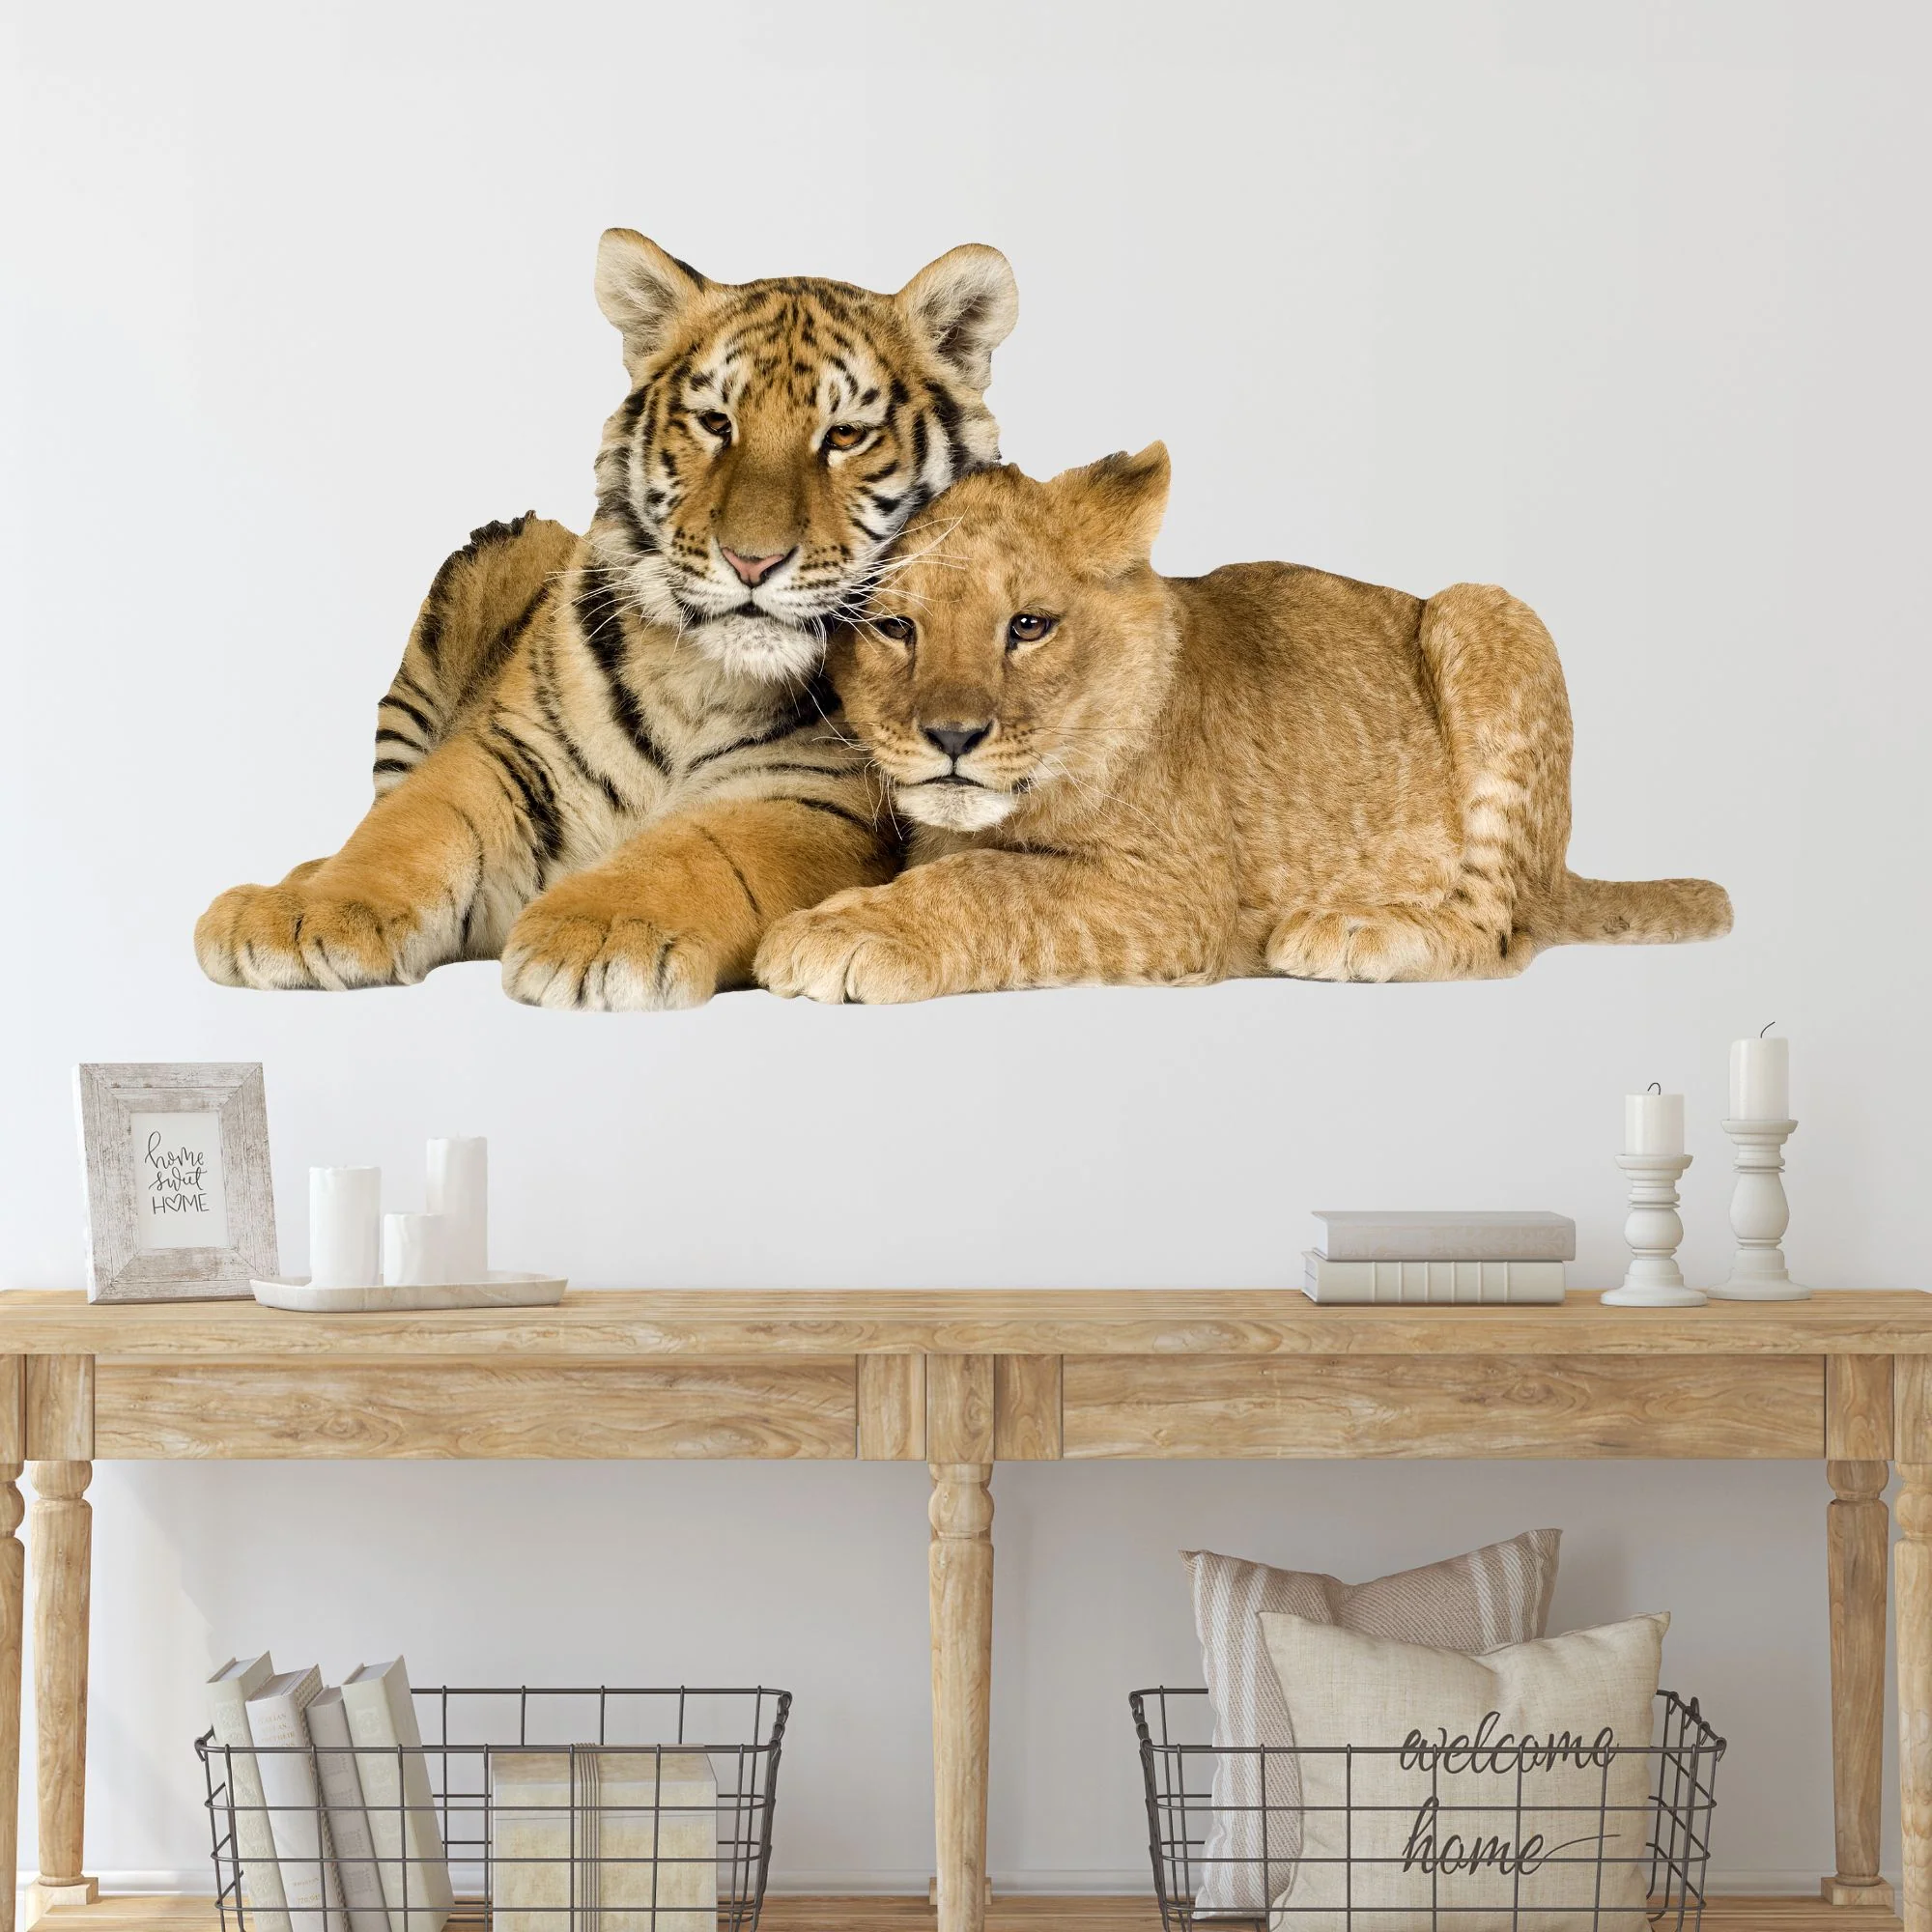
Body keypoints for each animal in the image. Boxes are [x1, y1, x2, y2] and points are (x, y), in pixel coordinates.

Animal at [194, 230, 1018, 1008]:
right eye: (715, 423)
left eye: (845, 435)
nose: (751, 562)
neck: (702, 674)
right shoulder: (506, 751)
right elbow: (409, 825)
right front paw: (304, 914)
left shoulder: (811, 801)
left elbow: (700, 849)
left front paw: (601, 931)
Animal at [754, 444, 1733, 1002]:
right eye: (894, 628)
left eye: (1028, 626)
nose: (953, 738)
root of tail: (1564, 869)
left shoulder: (1177, 893)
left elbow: (995, 882)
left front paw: (844, 933)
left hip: (1486, 611)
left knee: (1503, 935)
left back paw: (1354, 931)